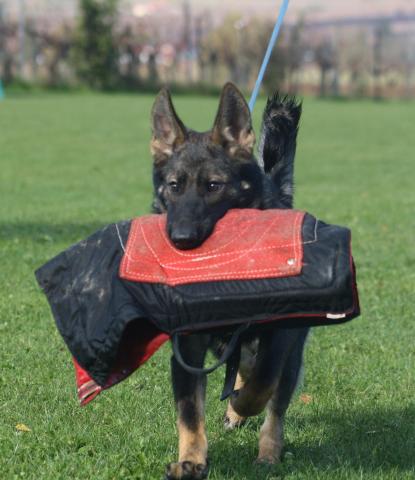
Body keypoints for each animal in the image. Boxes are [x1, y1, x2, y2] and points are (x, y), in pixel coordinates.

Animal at [151, 83, 308, 480]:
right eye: (174, 186)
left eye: (214, 186)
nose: (181, 238)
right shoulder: (188, 346)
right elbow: (189, 412)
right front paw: (191, 460)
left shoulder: (280, 336)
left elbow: (262, 385)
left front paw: (241, 407)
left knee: (274, 403)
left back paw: (267, 451)